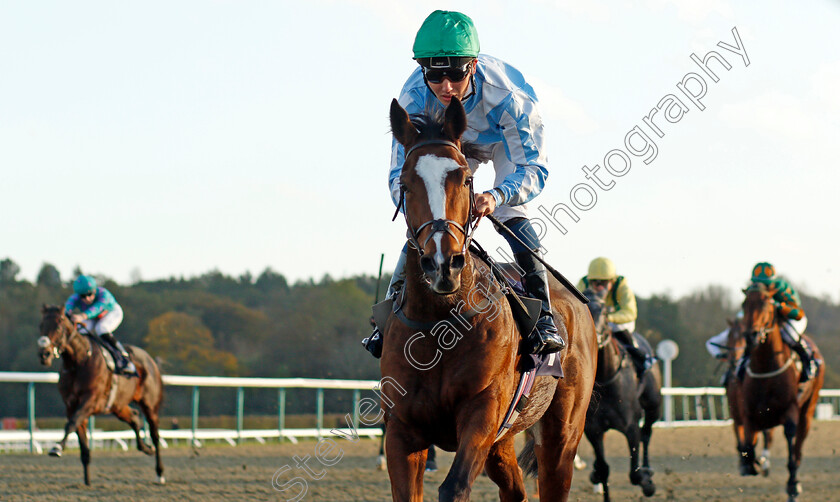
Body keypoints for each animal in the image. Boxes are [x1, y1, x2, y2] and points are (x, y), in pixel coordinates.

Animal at [37, 304, 166, 484]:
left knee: (155, 435)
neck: (79, 362)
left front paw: (57, 447)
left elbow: (71, 423)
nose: (44, 354)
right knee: (134, 417)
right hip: (118, 406)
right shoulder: (71, 405)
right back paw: (146, 448)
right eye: (41, 326)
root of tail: (150, 359)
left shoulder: (90, 401)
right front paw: (87, 481)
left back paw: (159, 473)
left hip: (150, 405)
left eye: (58, 327)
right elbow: (81, 441)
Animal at [380, 96, 596, 500]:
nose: (442, 263)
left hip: (561, 436)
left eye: (465, 178)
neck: (440, 324)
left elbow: (454, 487)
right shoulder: (402, 429)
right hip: (503, 442)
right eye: (405, 183)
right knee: (515, 491)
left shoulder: (483, 413)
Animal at [740, 284, 824, 500]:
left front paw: (793, 485)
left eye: (766, 305)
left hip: (808, 410)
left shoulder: (790, 411)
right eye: (744, 304)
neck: (765, 368)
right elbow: (749, 449)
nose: (751, 336)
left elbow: (790, 445)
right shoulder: (750, 414)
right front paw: (755, 465)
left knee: (798, 449)